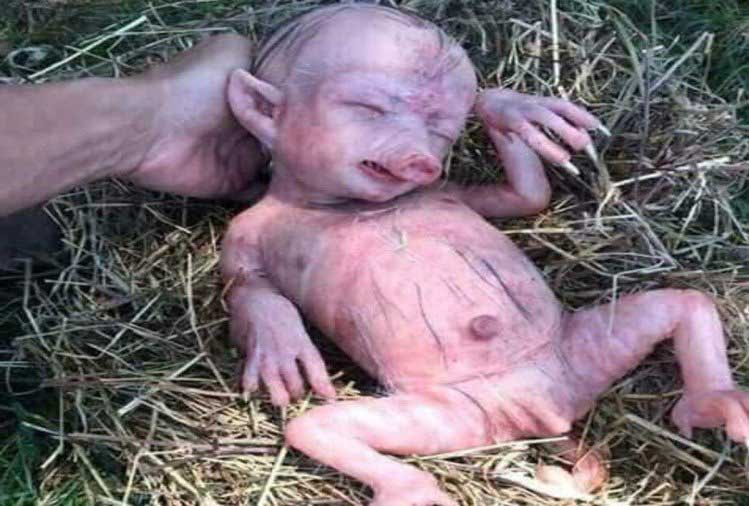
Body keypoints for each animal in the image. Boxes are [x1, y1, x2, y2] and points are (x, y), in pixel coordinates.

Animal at [221, 5, 748, 505]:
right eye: (367, 108)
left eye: (440, 130)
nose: (419, 159)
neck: (338, 202)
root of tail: (550, 411)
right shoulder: (242, 231)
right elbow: (246, 284)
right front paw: (280, 341)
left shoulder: (449, 189)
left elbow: (526, 197)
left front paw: (508, 107)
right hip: (454, 414)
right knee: (317, 427)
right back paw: (414, 491)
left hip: (583, 348)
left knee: (683, 302)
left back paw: (720, 404)